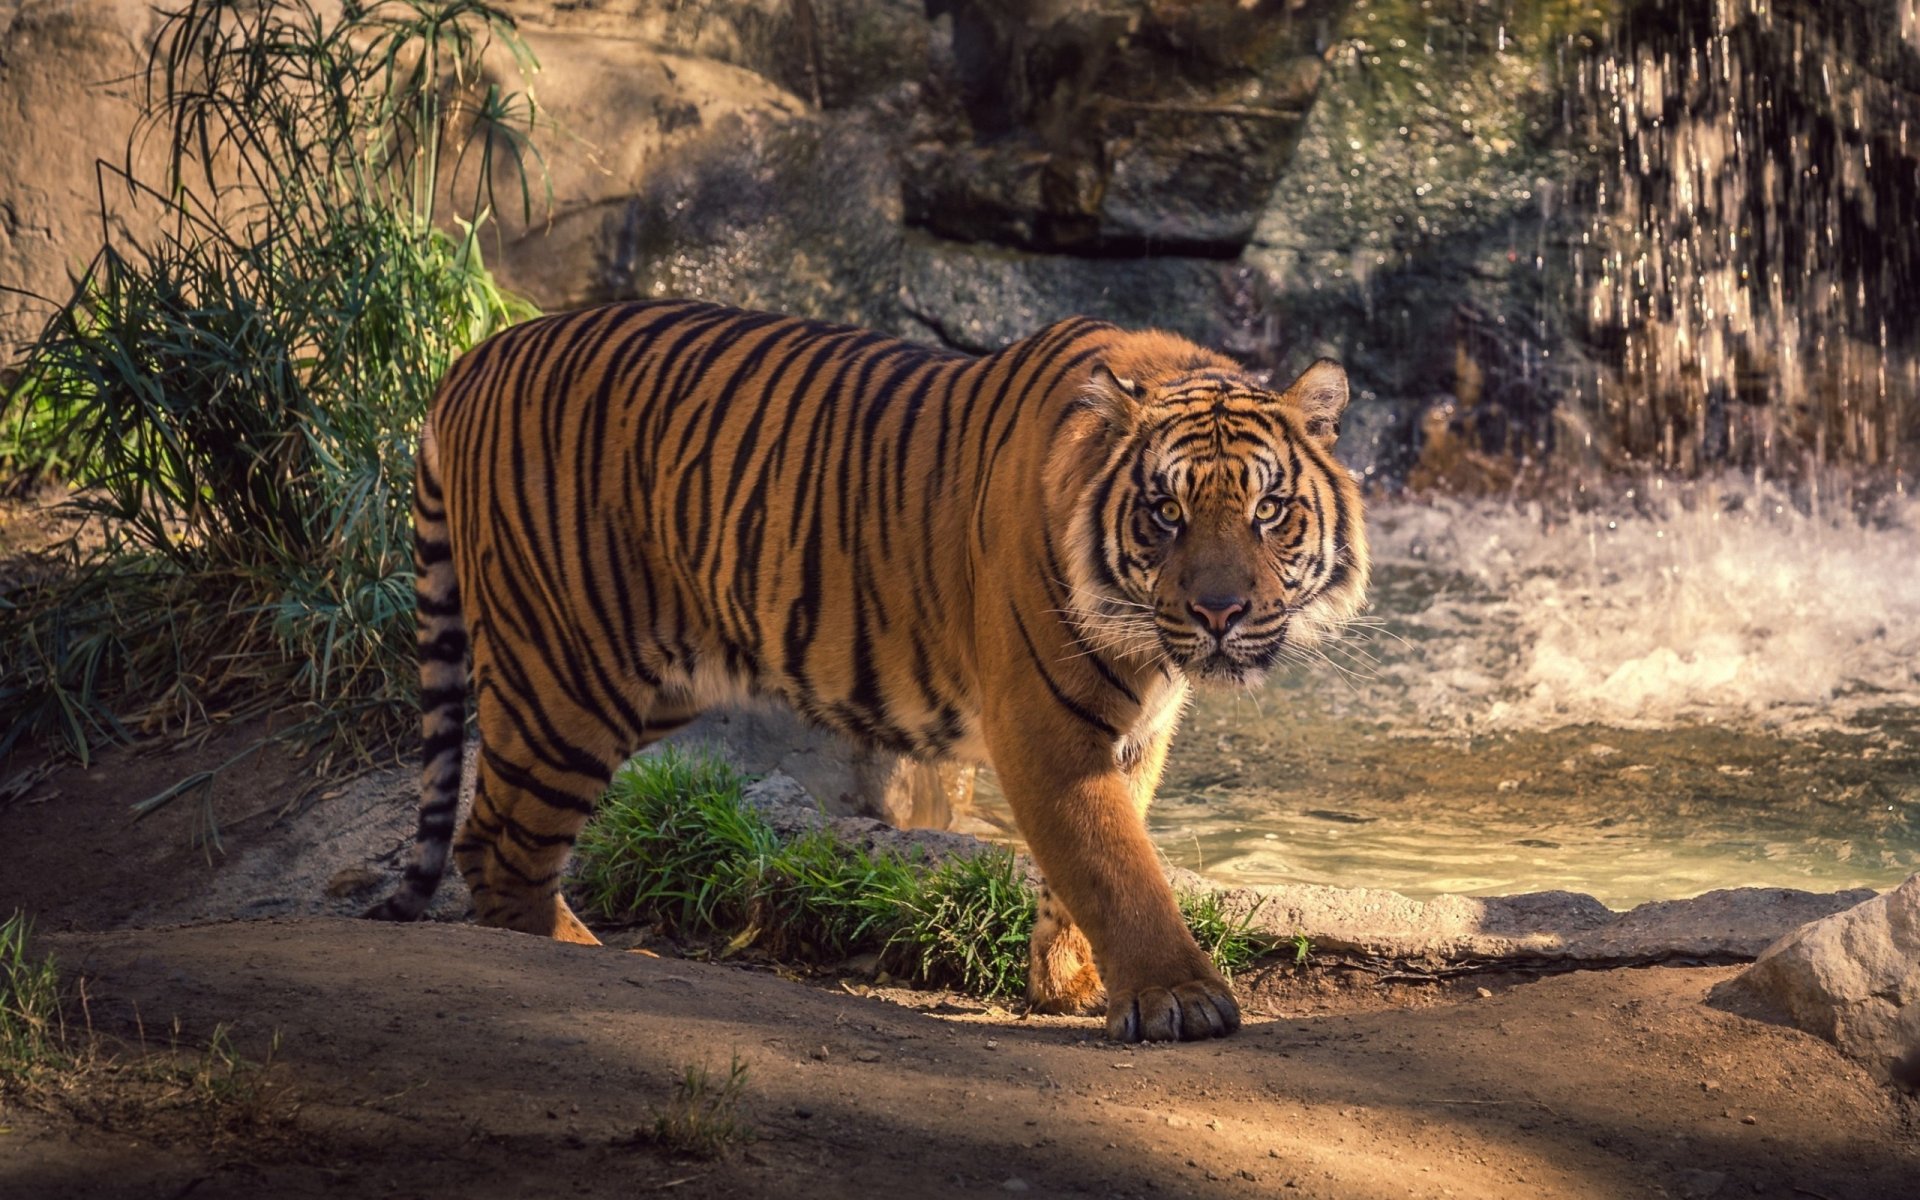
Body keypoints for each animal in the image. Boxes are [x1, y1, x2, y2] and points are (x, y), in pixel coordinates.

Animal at [368, 299, 1369, 1043]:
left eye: (1269, 508)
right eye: (1165, 512)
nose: (1218, 613)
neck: (1143, 639)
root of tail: (477, 355)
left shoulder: (1137, 731)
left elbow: (1096, 854)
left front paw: (1070, 981)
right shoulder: (1046, 725)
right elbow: (1115, 860)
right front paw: (1175, 998)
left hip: (651, 675)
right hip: (563, 675)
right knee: (499, 845)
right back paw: (588, 958)